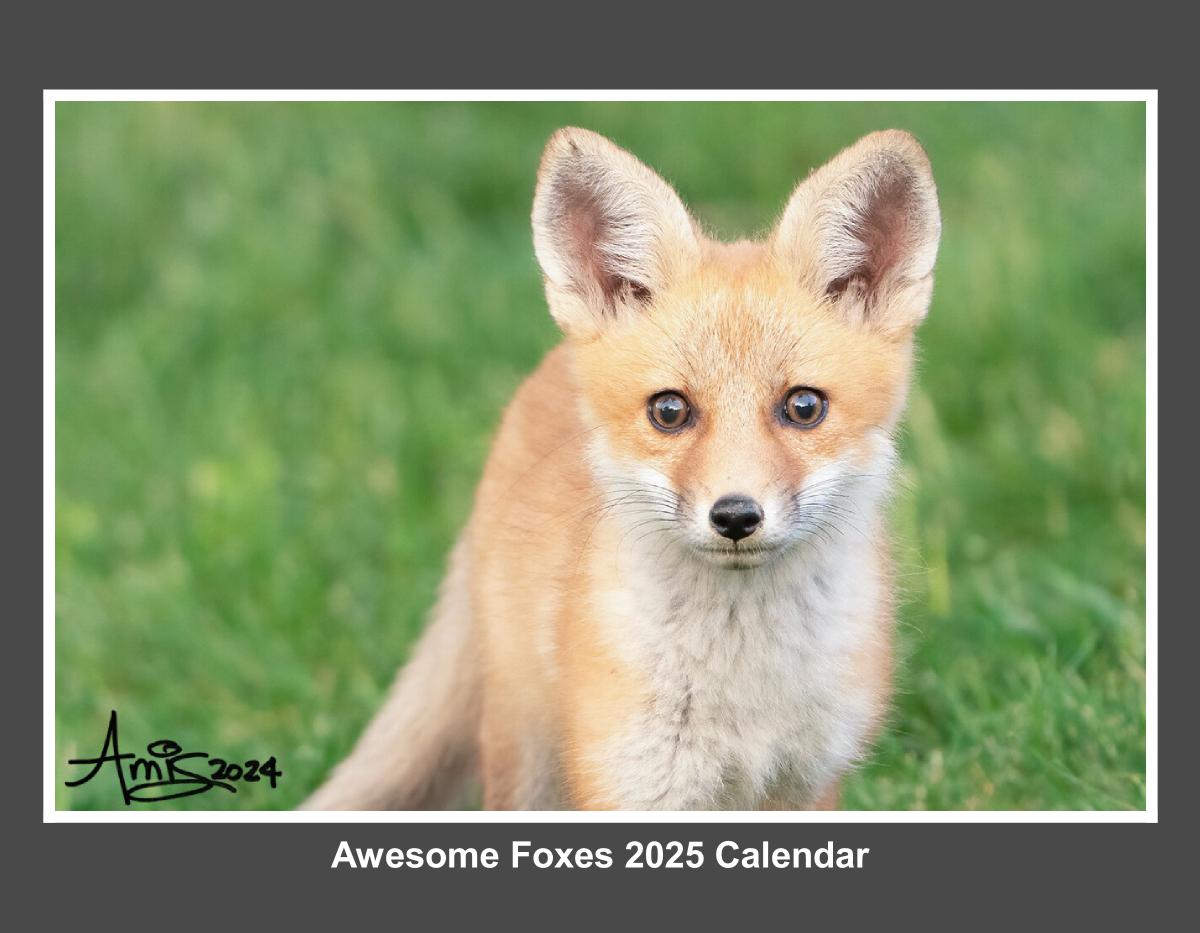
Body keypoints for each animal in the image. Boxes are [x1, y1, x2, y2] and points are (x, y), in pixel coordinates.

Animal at [304, 126, 941, 810]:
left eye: (803, 406)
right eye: (669, 410)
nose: (735, 516)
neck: (742, 692)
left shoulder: (808, 783)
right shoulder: (632, 781)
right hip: (525, 755)